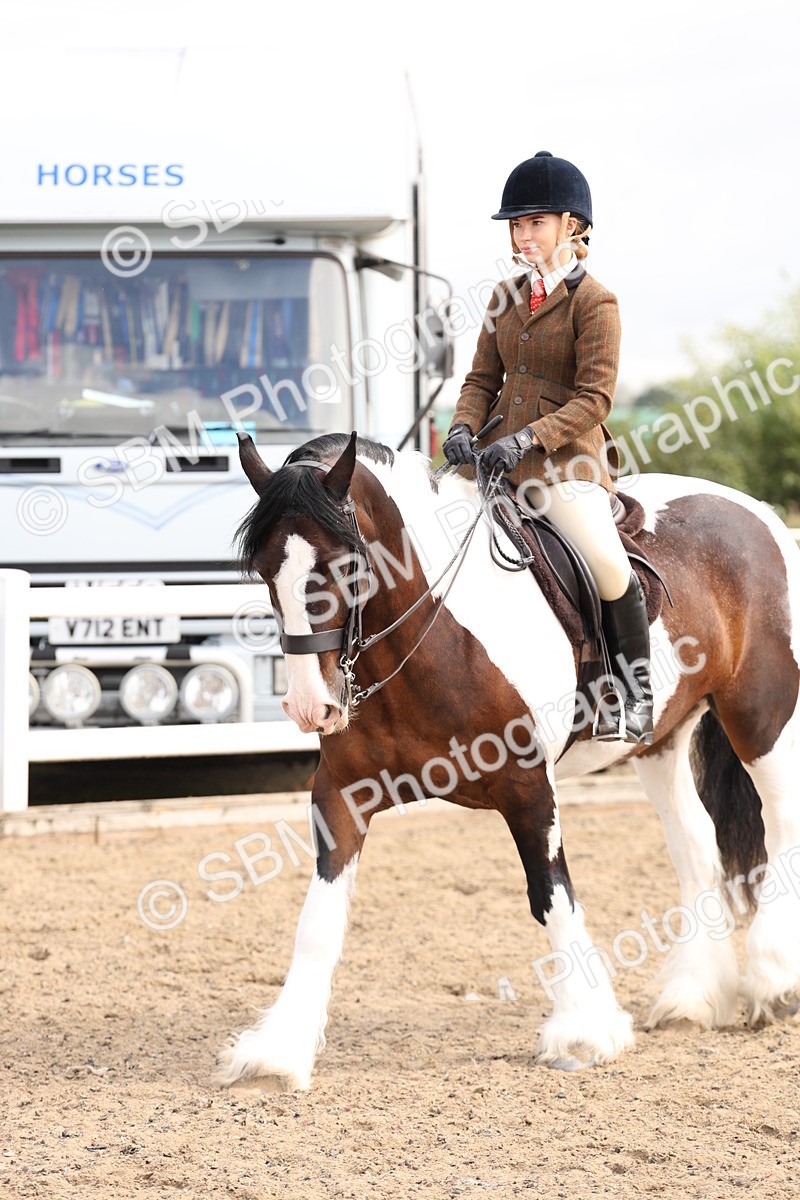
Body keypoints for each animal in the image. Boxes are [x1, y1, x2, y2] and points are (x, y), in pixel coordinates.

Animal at [215, 430, 800, 1091]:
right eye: (265, 570)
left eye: (345, 567)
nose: (310, 706)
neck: (432, 638)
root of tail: (755, 511)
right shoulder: (342, 794)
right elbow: (318, 918)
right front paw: (276, 1054)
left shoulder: (528, 790)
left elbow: (550, 896)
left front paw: (584, 1031)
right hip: (661, 741)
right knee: (697, 843)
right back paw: (690, 1000)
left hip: (761, 716)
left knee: (782, 824)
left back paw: (774, 981)